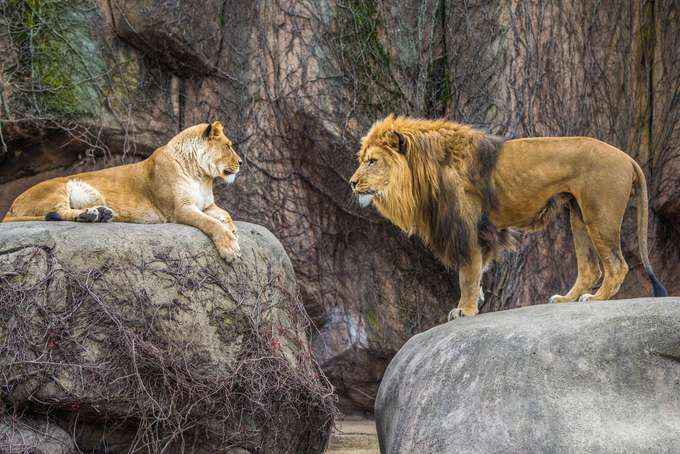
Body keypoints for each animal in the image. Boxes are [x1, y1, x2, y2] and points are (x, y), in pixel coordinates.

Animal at [3, 121, 242, 261]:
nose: (241, 162)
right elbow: (209, 223)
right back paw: (93, 215)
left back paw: (100, 213)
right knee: (58, 212)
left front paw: (232, 230)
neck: (200, 175)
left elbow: (225, 214)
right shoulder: (179, 209)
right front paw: (230, 246)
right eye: (228, 146)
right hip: (57, 187)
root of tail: (11, 206)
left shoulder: (207, 204)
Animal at [349, 114, 668, 320]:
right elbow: (478, 270)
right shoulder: (480, 231)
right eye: (363, 160)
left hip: (599, 212)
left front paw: (465, 310)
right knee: (590, 267)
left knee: (616, 265)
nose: (352, 183)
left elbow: (467, 273)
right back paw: (566, 299)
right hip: (578, 214)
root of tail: (627, 158)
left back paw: (596, 299)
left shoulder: (466, 227)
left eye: (372, 161)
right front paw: (476, 300)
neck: (423, 170)